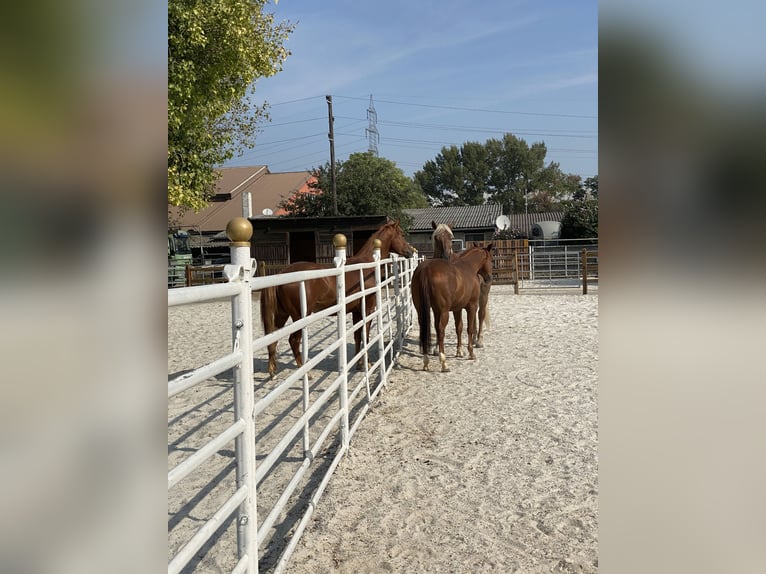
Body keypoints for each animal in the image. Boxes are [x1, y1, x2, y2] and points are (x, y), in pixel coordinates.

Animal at [260, 220, 416, 378]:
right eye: (401, 234)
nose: (410, 252)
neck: (366, 266)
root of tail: (282, 273)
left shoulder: (356, 311)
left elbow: (357, 336)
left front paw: (358, 364)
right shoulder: (367, 308)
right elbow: (365, 334)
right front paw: (367, 364)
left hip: (282, 315)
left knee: (273, 339)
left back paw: (273, 371)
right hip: (299, 317)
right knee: (293, 341)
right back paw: (305, 373)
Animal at [412, 244, 496, 374]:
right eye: (491, 259)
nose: (489, 278)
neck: (469, 267)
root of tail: (426, 268)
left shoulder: (456, 308)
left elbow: (459, 327)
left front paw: (459, 351)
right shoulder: (472, 306)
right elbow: (469, 329)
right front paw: (471, 353)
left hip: (423, 310)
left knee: (424, 328)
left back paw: (426, 361)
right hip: (444, 312)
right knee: (441, 330)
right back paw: (444, 363)